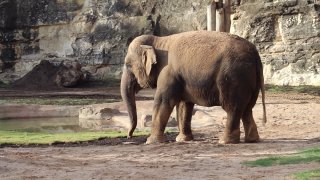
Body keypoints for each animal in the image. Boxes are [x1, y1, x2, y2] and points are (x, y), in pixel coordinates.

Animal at [121, 30, 266, 144]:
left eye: (128, 65)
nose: (129, 136)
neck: (159, 40)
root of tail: (255, 53)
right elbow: (184, 105)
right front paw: (182, 140)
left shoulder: (168, 73)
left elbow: (162, 101)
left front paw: (151, 141)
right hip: (248, 80)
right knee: (247, 108)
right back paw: (252, 140)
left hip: (233, 78)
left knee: (232, 108)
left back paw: (225, 141)